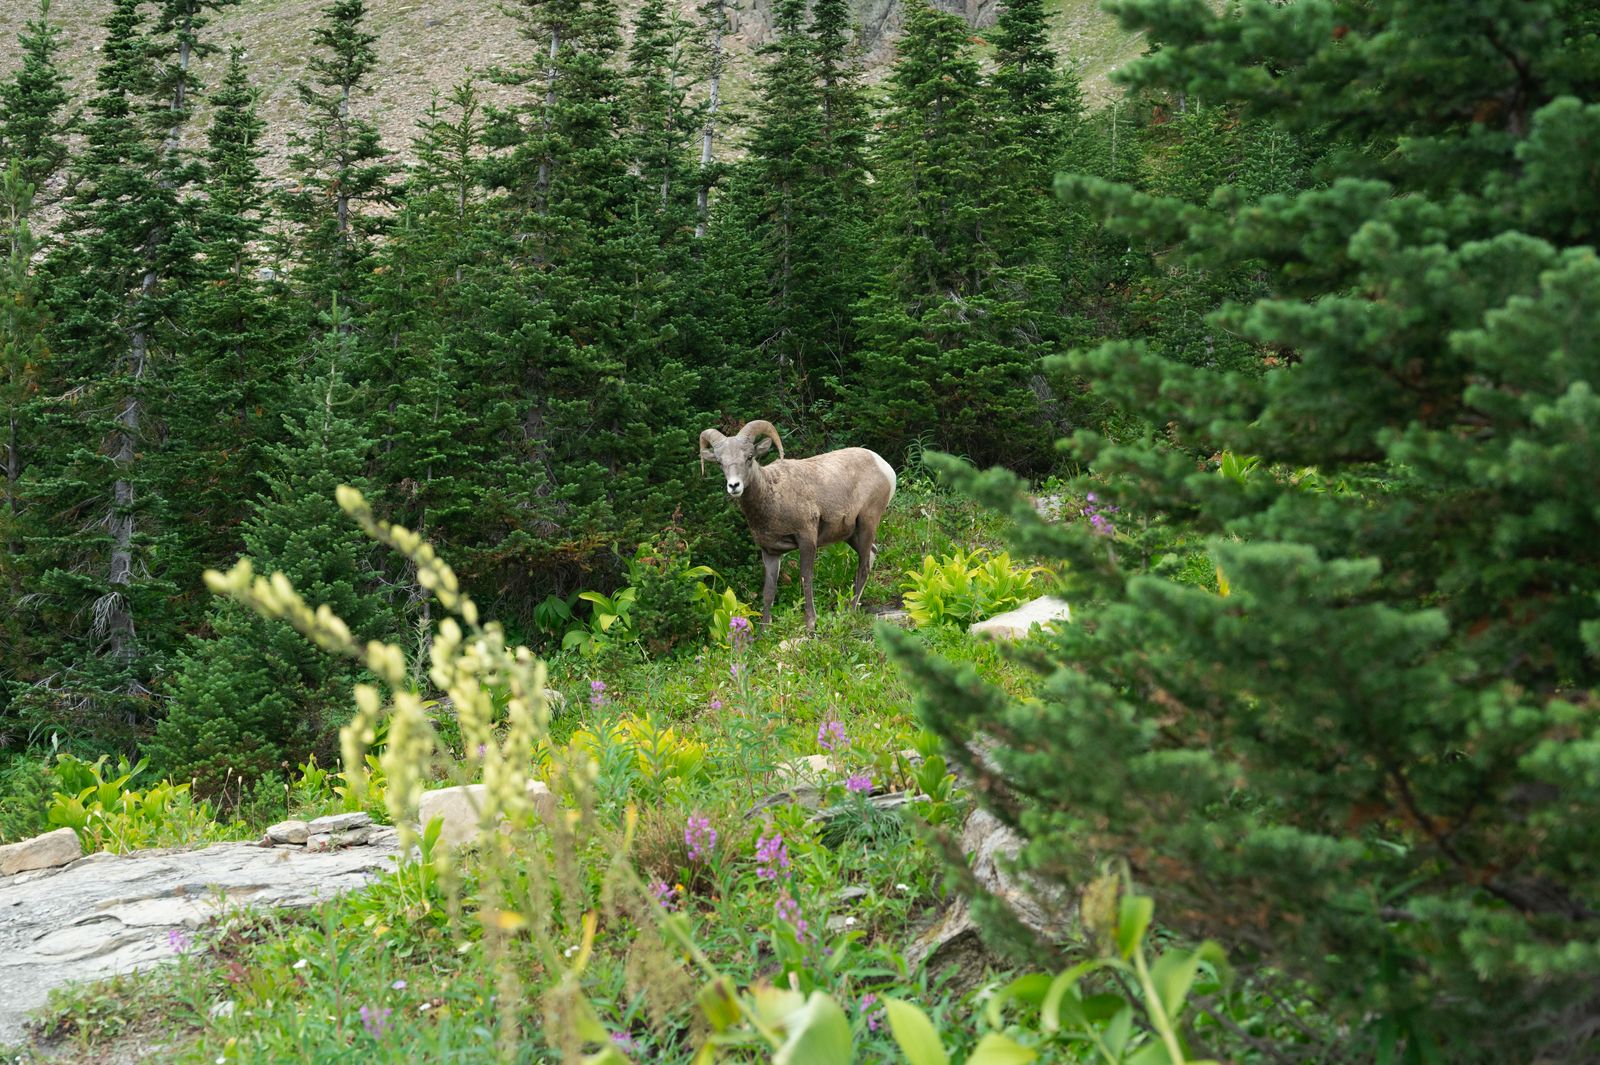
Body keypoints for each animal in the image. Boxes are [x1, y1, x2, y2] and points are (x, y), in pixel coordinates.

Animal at [700, 415, 902, 630]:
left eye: (749, 457)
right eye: (720, 462)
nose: (734, 486)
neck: (772, 496)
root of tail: (884, 466)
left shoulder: (806, 539)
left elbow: (806, 578)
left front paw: (811, 623)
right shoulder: (770, 552)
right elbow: (769, 591)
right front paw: (764, 631)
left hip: (867, 523)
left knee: (863, 566)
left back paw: (850, 612)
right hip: (850, 534)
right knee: (871, 553)